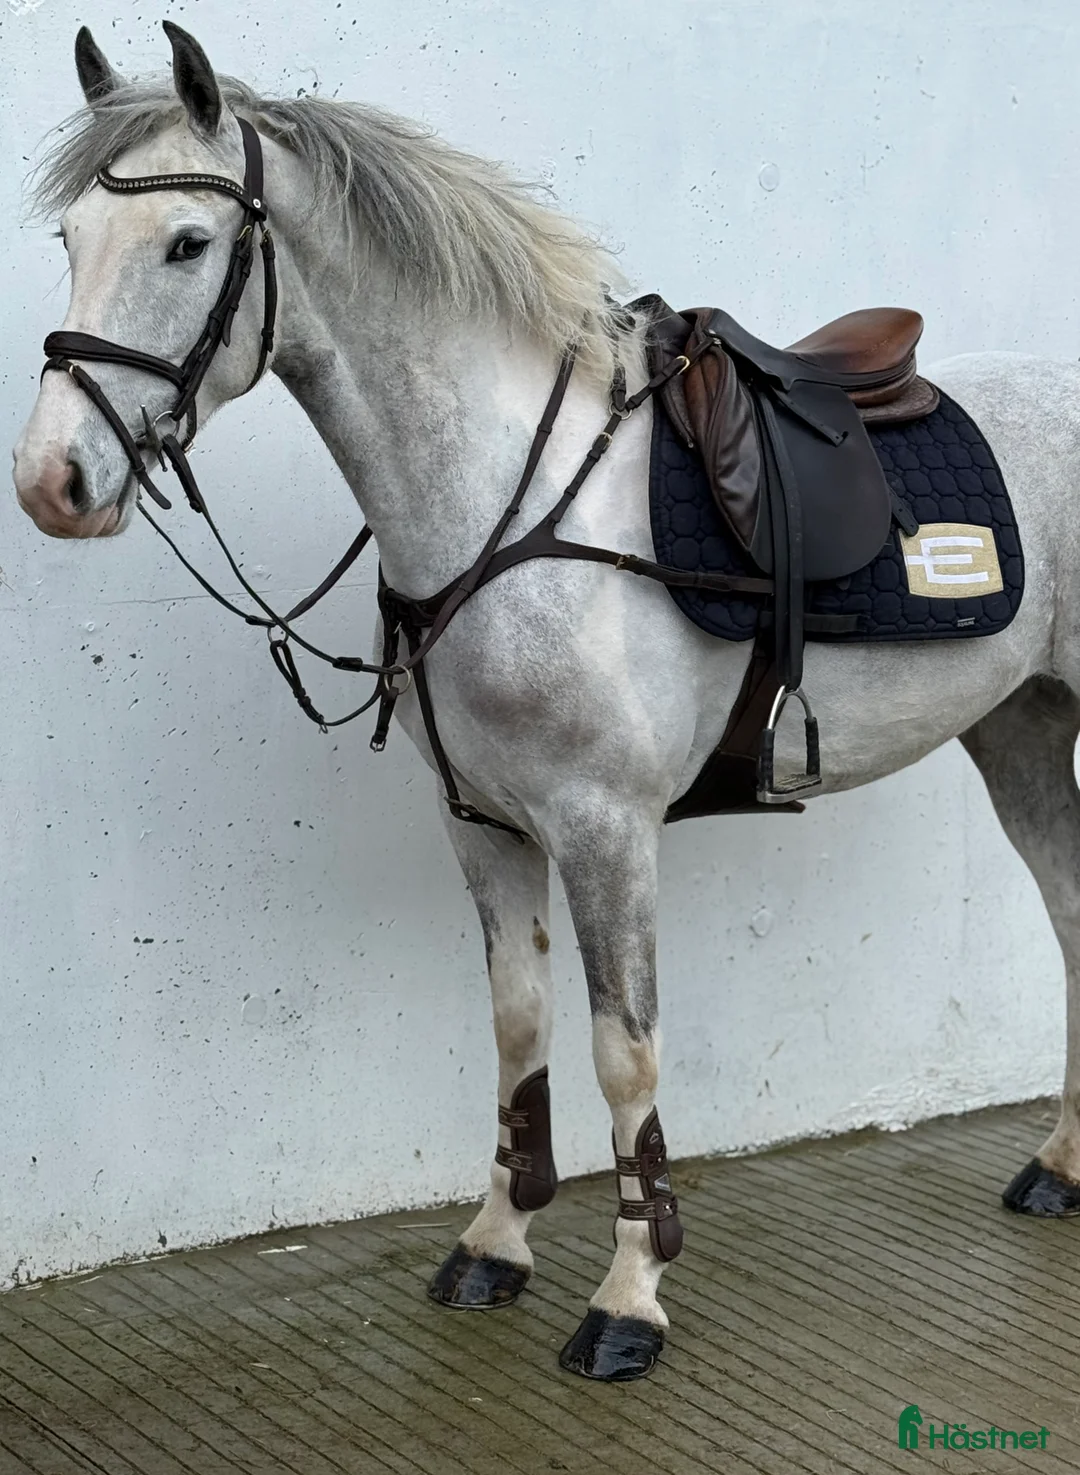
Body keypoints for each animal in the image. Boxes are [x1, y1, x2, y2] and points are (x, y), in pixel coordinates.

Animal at [13, 22, 1080, 1383]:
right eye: (71, 239)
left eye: (188, 243)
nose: (53, 480)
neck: (505, 497)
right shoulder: (483, 824)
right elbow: (518, 1030)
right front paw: (496, 1242)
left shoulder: (606, 830)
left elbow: (625, 1055)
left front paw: (629, 1298)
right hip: (1024, 727)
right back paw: (1060, 1165)